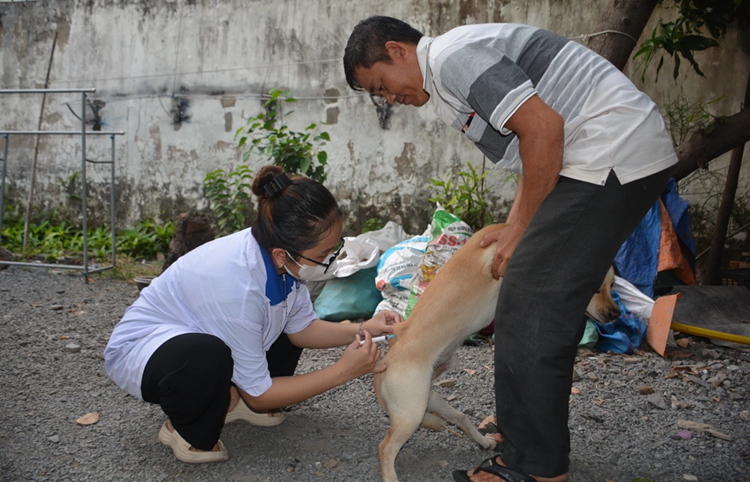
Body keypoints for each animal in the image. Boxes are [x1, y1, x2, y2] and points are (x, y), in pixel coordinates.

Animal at [374, 224, 624, 480]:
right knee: (386, 448)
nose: (617, 314)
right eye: (594, 289)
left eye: (612, 285)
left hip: (430, 401)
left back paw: (484, 441)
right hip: (412, 412)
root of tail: (386, 363)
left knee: (460, 418)